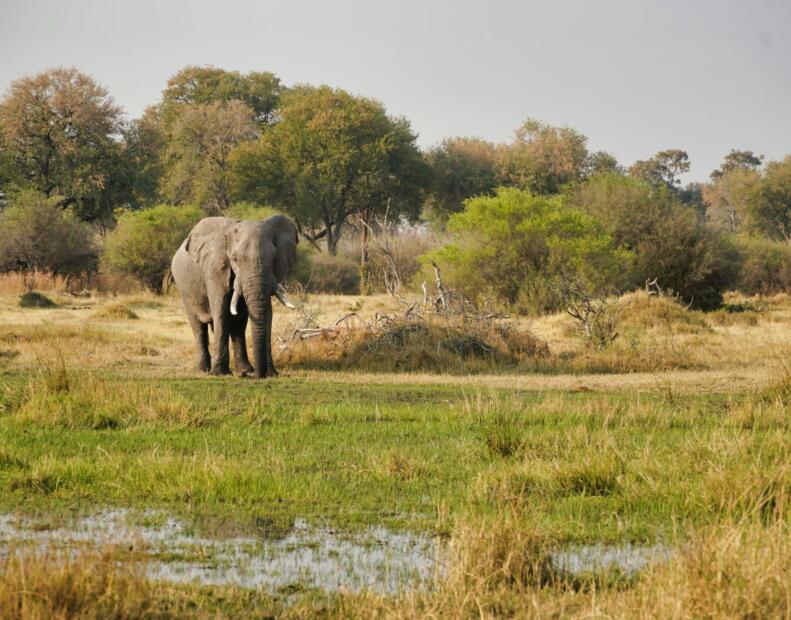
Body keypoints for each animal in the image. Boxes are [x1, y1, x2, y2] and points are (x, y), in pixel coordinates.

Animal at [172, 213, 298, 378]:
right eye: (235, 258)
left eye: (273, 258)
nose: (259, 376)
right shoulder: (215, 268)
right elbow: (220, 310)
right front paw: (219, 373)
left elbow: (266, 312)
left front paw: (271, 374)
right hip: (184, 290)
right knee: (198, 326)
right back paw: (203, 369)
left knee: (238, 326)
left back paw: (245, 370)